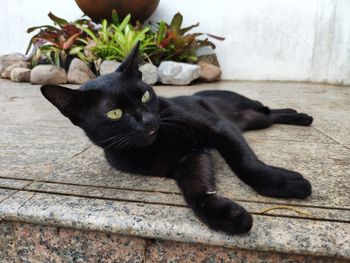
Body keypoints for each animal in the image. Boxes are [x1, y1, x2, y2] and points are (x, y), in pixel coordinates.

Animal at [41, 42, 312, 236]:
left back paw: (301, 116)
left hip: (247, 116)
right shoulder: (190, 158)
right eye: (115, 113)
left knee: (269, 111)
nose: (147, 120)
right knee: (270, 115)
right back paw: (300, 116)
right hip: (251, 120)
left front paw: (281, 183)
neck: (160, 143)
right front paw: (225, 215)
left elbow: (244, 163)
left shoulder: (219, 127)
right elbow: (196, 190)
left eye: (145, 95)